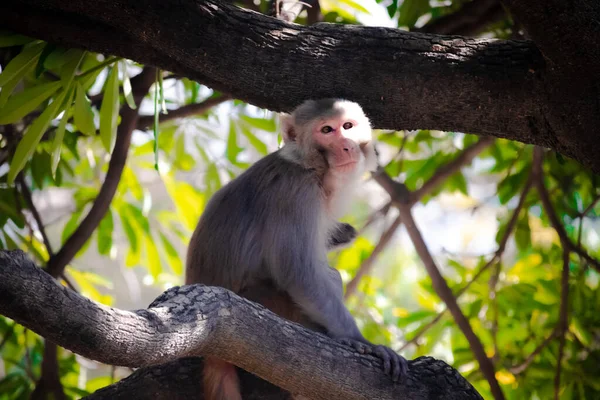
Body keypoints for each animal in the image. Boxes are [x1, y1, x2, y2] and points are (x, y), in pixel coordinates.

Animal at [186, 97, 408, 400]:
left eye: (347, 126)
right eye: (326, 130)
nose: (347, 146)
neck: (314, 168)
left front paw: (342, 233)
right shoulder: (296, 193)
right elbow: (300, 274)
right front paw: (359, 341)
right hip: (267, 301)